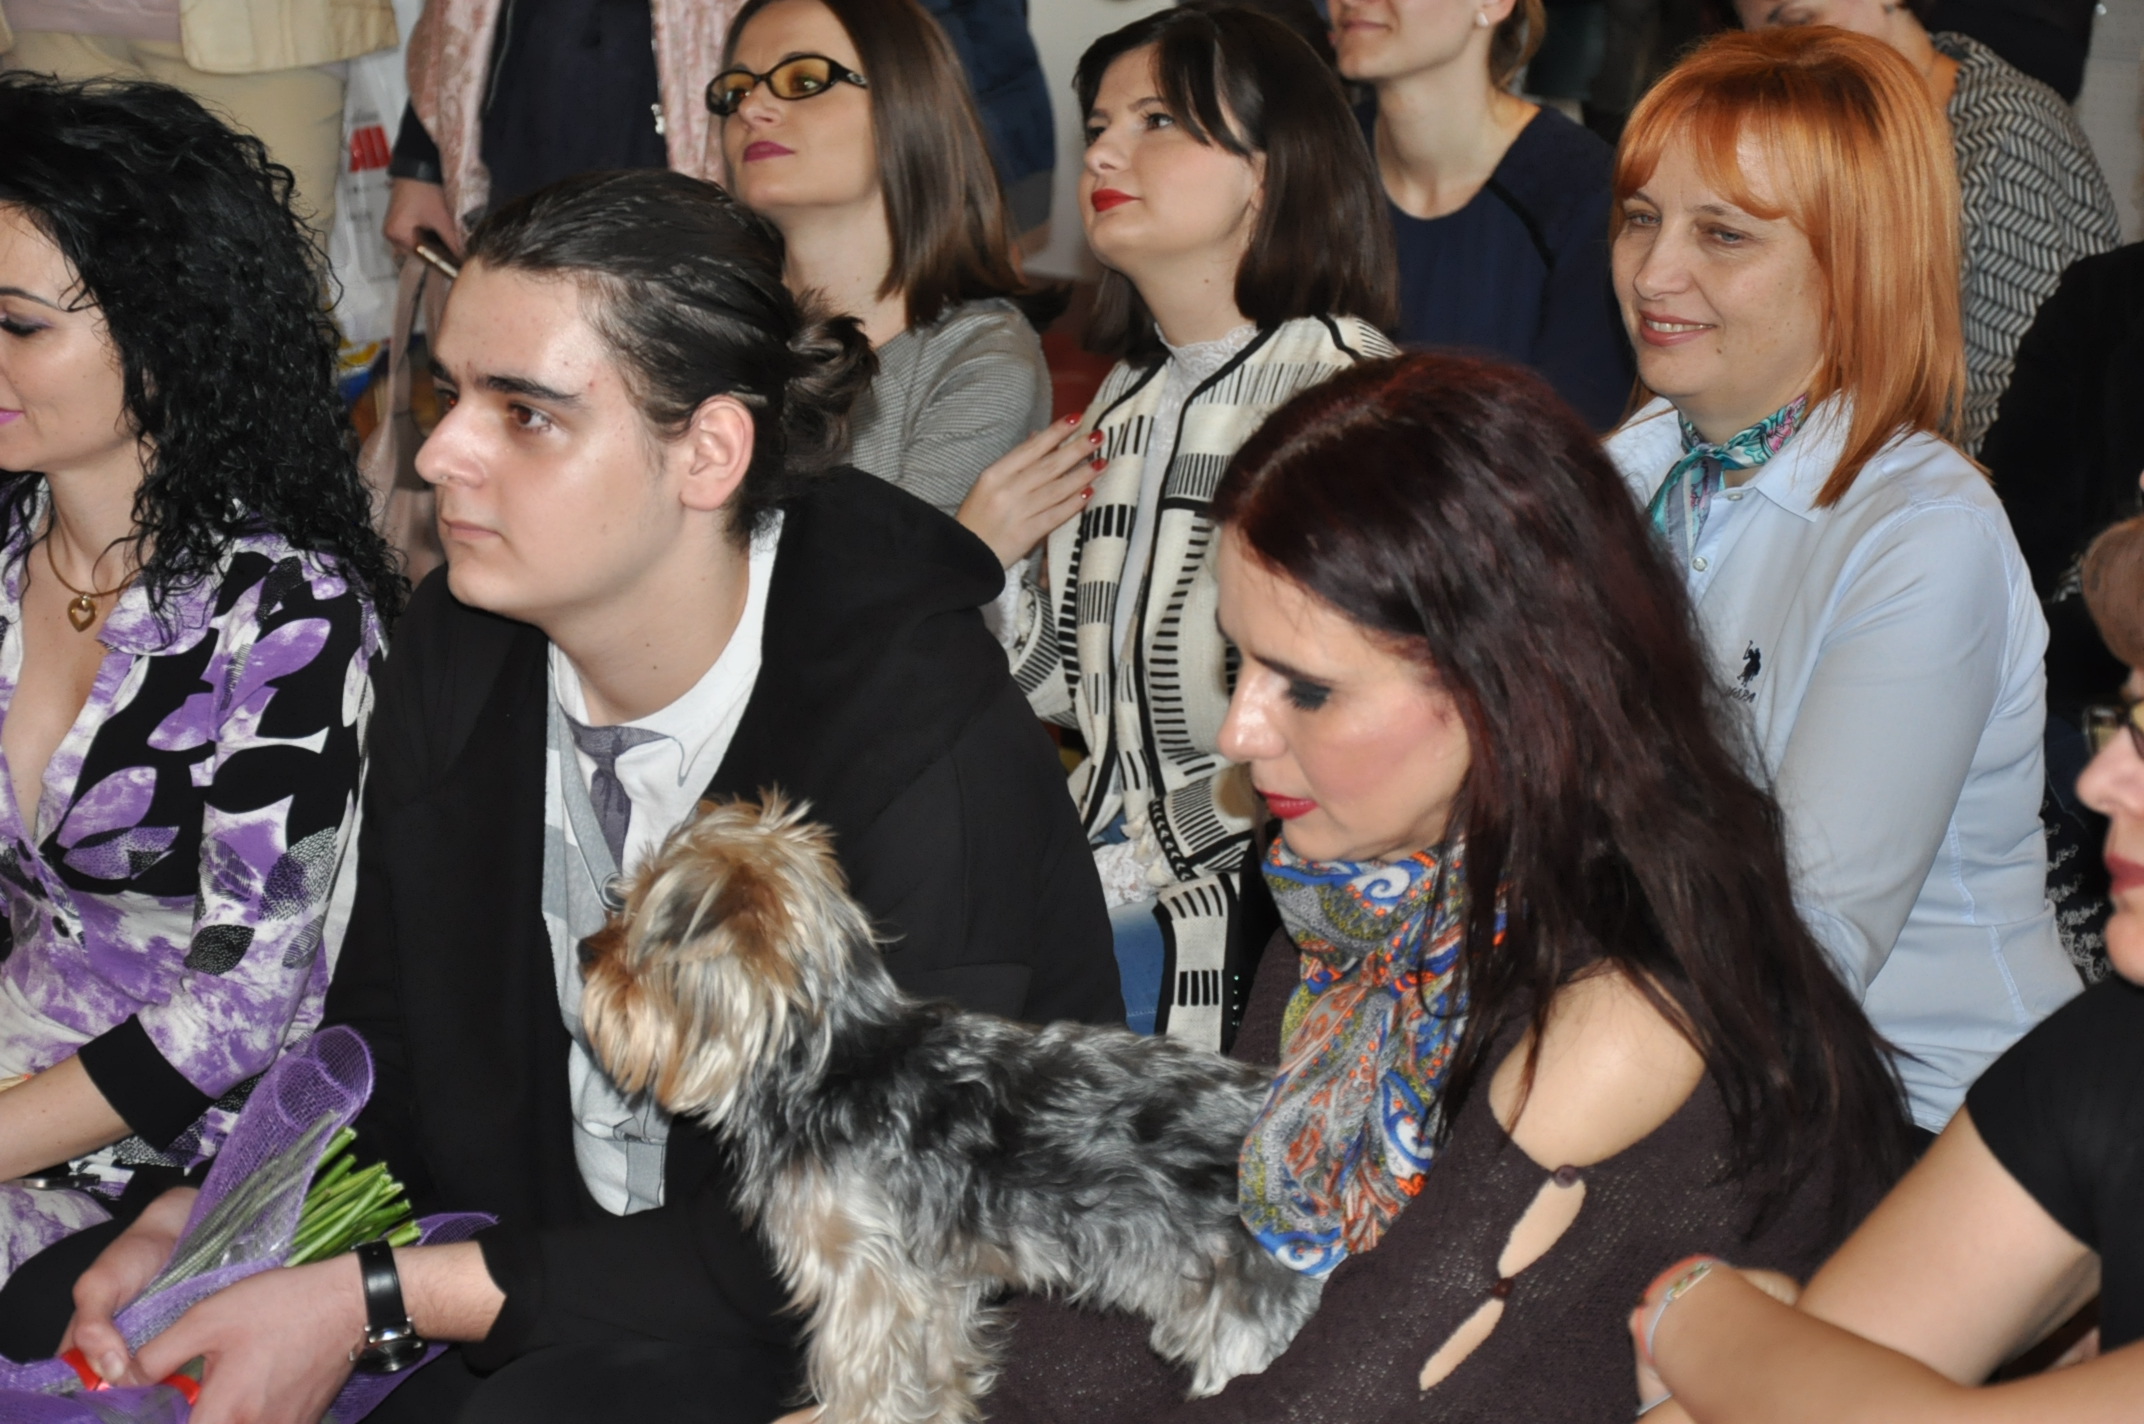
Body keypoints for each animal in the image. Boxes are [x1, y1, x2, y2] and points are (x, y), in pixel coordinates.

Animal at [578, 796, 1322, 1424]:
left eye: (632, 931)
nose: (585, 952)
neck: (826, 1060)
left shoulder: (861, 1273)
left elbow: (862, 1373)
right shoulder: (935, 1276)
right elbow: (938, 1362)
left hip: (1241, 1313)